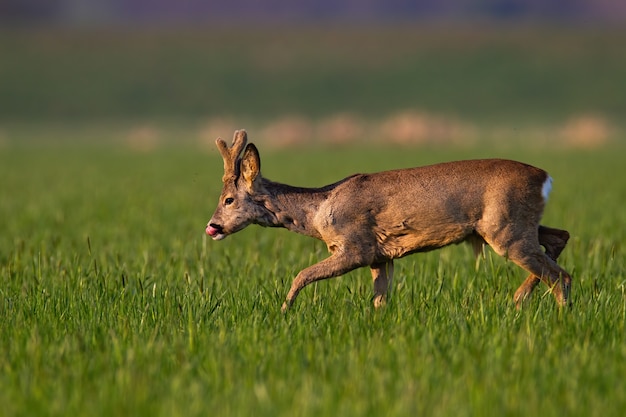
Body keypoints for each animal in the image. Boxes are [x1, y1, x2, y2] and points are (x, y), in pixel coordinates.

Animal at [206, 129, 572, 308]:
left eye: (228, 199)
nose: (212, 227)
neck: (319, 211)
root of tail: (546, 177)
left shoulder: (356, 247)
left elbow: (300, 275)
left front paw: (284, 312)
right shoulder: (380, 256)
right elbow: (380, 300)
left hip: (506, 228)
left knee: (561, 276)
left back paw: (556, 316)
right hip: (516, 226)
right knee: (560, 238)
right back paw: (519, 299)